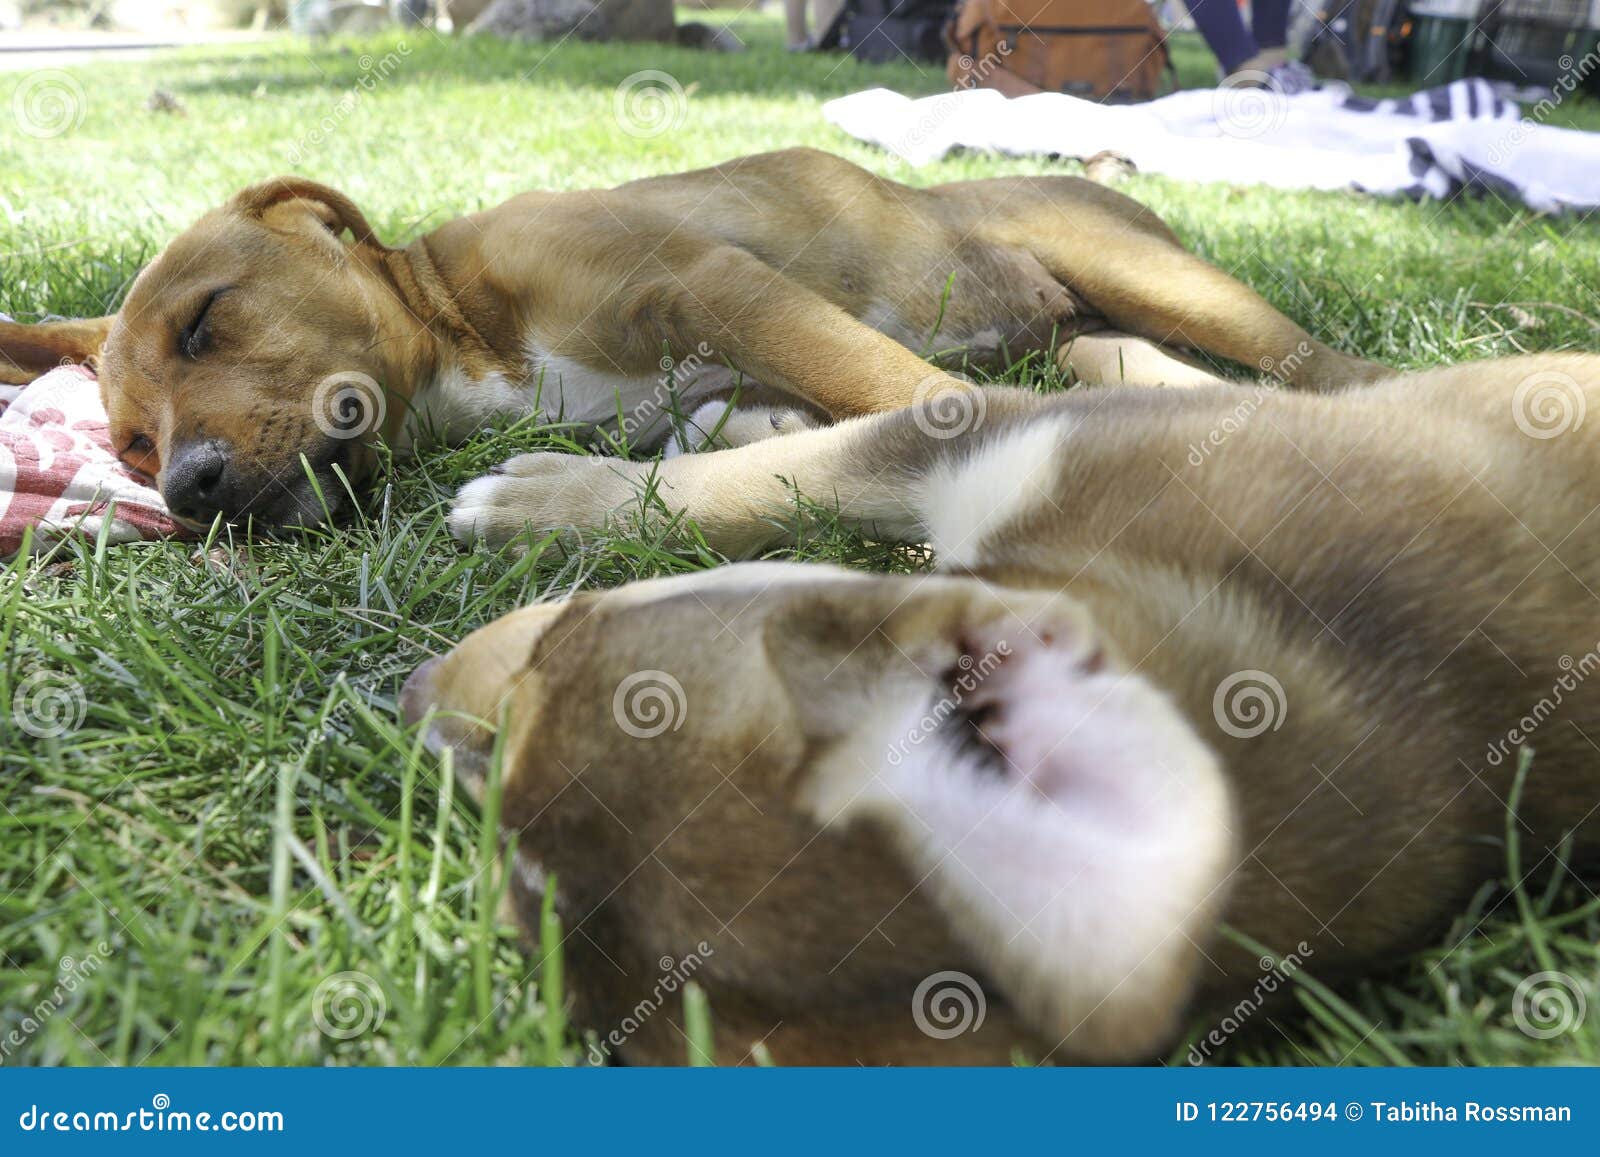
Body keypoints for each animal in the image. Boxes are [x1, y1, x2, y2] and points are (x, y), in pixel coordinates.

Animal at [409, 355, 1600, 1068]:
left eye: (560, 648)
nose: (410, 701)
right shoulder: (991, 433)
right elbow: (796, 465)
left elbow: (778, 470)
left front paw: (548, 497)